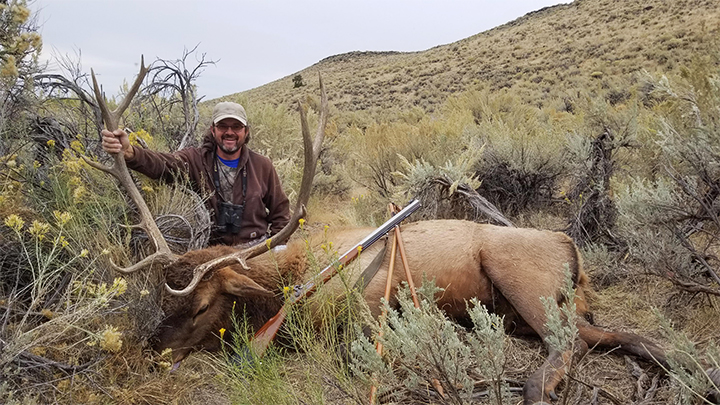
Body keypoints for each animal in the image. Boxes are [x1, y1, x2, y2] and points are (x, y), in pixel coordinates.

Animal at [87, 58, 716, 402]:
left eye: (198, 305)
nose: (151, 350)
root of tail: (569, 244)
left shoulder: (371, 305)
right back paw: (691, 368)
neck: (290, 282)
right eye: (163, 299)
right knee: (616, 334)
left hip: (523, 279)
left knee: (572, 342)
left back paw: (535, 388)